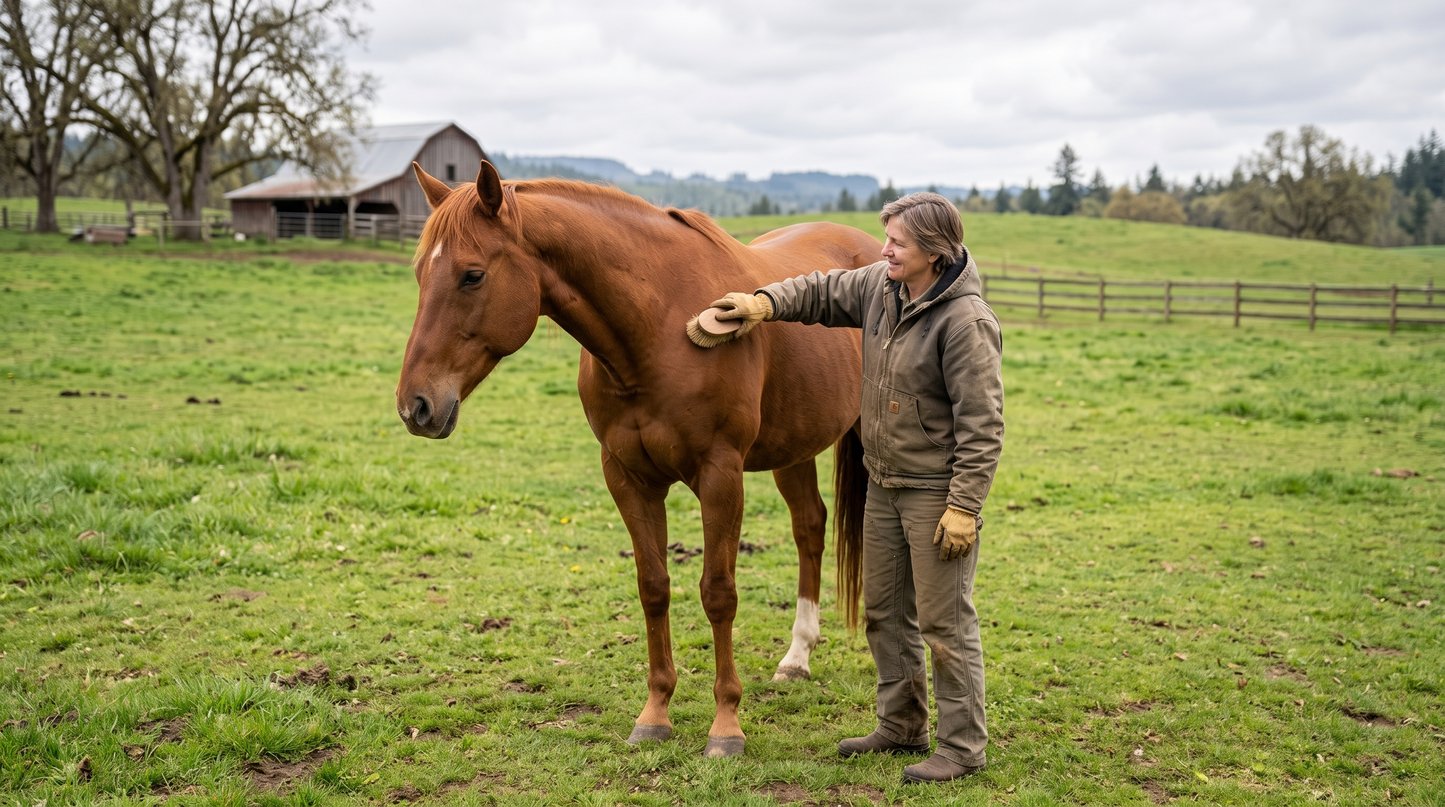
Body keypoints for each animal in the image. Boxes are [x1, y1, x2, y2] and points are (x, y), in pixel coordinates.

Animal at [397, 160, 881, 758]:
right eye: (421, 274)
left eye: (471, 275)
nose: (416, 405)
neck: (658, 326)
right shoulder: (628, 477)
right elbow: (654, 587)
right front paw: (655, 713)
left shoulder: (720, 476)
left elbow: (718, 593)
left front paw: (726, 726)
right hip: (793, 447)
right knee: (810, 527)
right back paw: (797, 658)